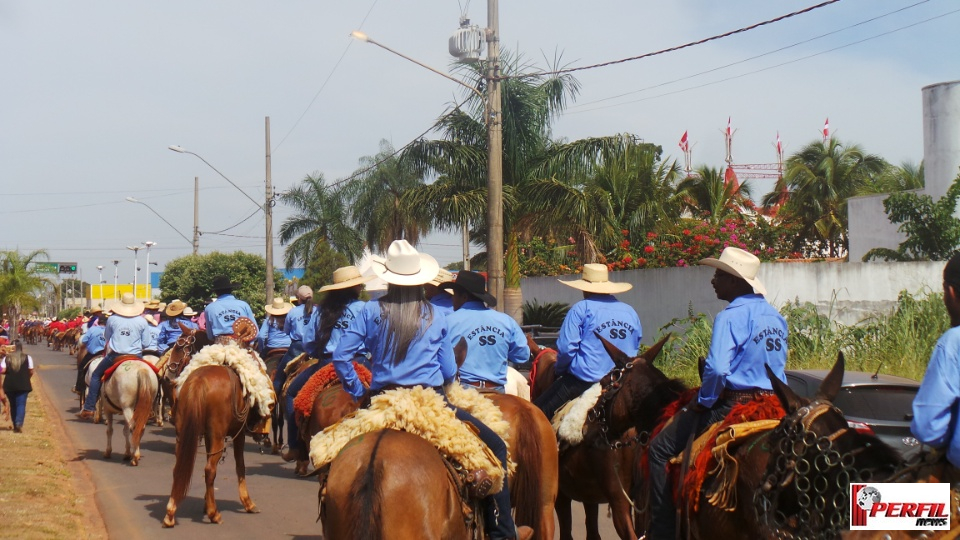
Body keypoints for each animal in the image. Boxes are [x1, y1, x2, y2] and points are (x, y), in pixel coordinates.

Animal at [524, 334, 684, 540]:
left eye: (605, 381)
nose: (588, 429)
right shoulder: (589, 496)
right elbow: (592, 531)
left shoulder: (561, 496)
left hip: (620, 501)